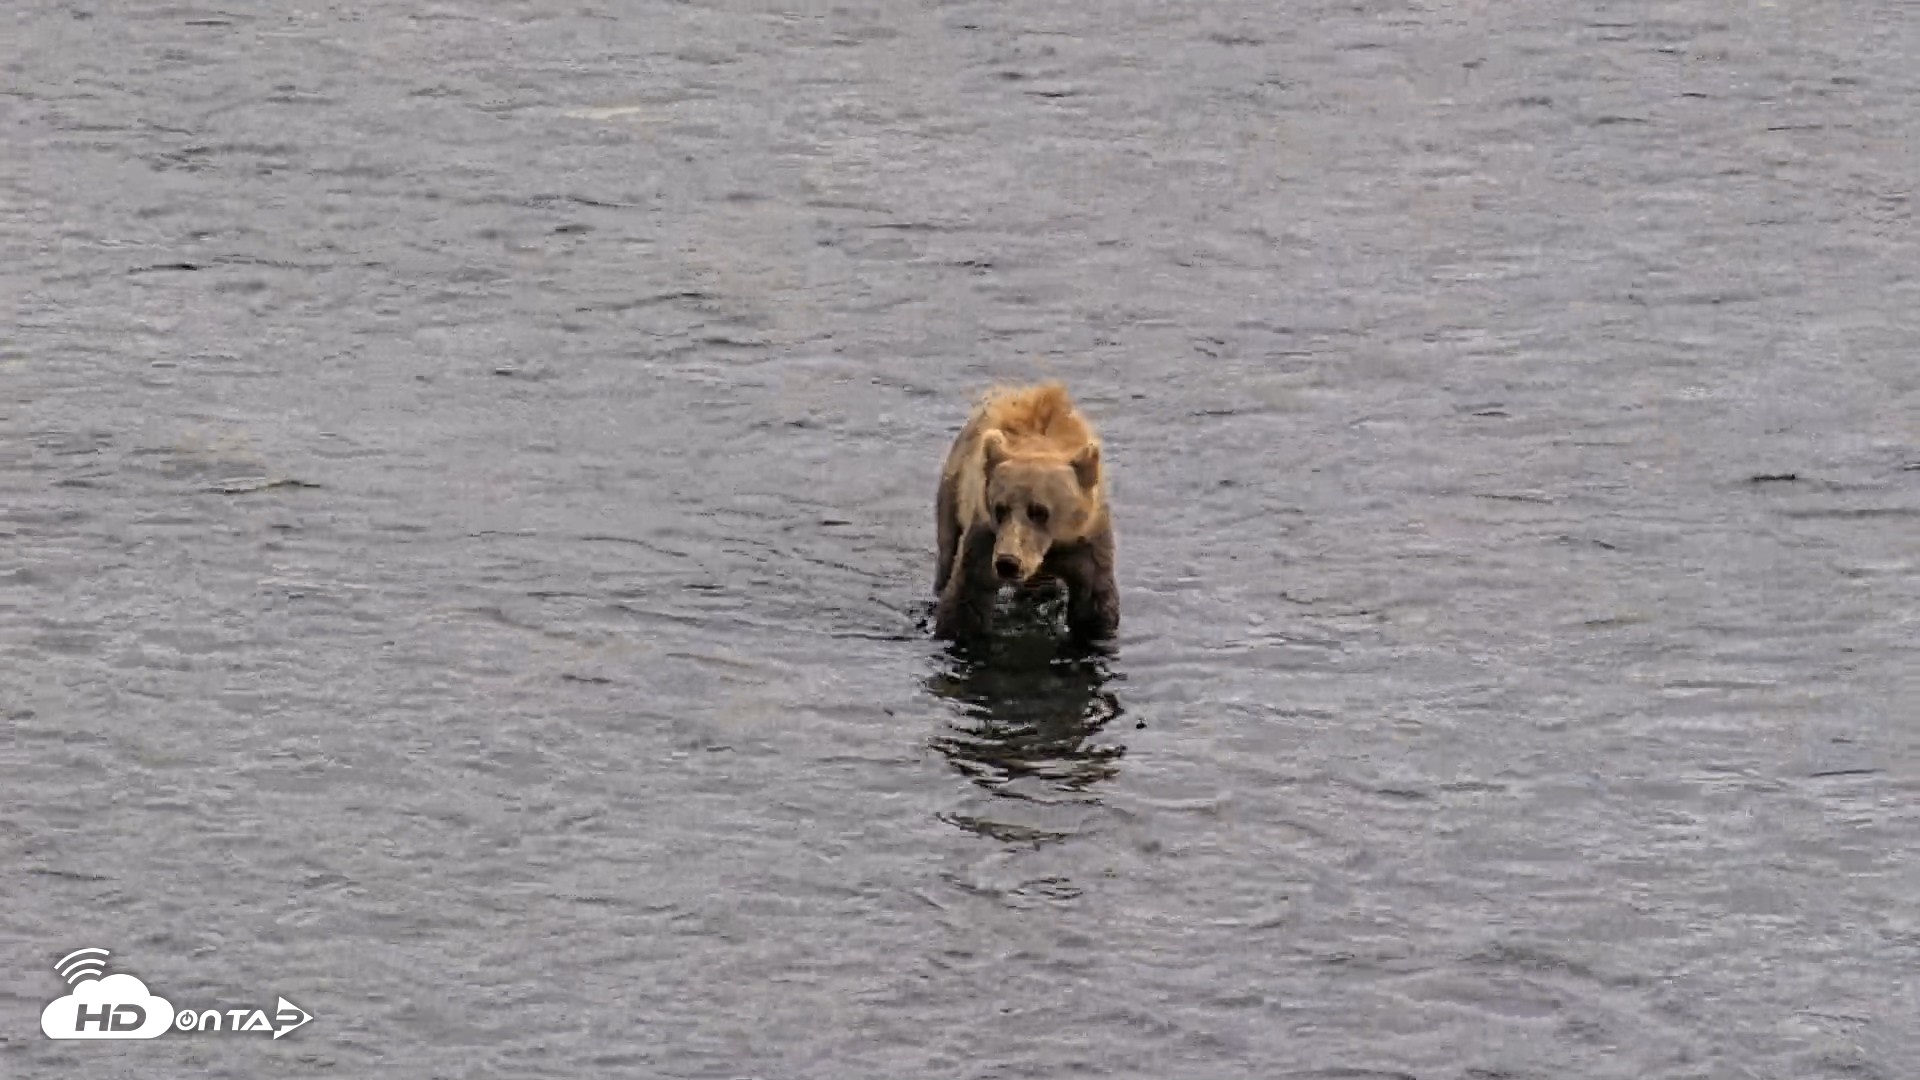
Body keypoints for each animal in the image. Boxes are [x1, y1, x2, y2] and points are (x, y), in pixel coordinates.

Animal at [932, 381, 1119, 643]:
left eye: (1039, 510)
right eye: (1000, 508)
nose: (1008, 562)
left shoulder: (1087, 541)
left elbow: (1094, 602)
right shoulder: (985, 537)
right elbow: (966, 598)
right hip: (952, 487)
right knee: (947, 549)